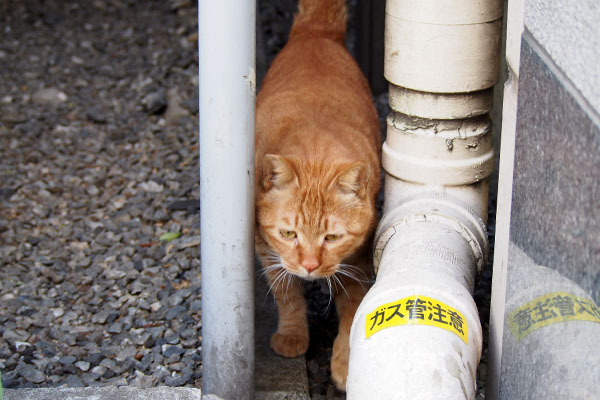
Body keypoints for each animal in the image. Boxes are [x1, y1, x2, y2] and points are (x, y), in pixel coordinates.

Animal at [254, 0, 380, 390]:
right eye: (288, 233)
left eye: (332, 237)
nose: (310, 266)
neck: (315, 151)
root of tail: (317, 30)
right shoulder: (267, 248)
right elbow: (287, 295)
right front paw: (292, 334)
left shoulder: (357, 260)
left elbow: (353, 309)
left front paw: (345, 362)